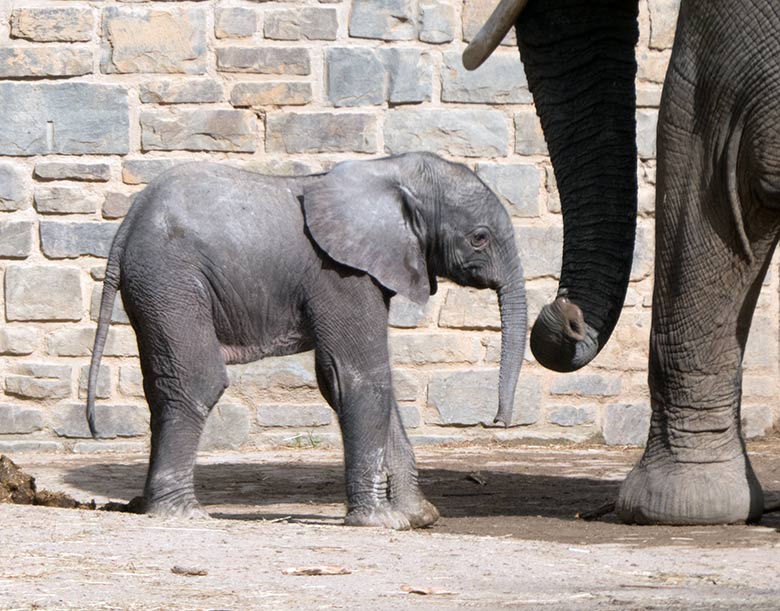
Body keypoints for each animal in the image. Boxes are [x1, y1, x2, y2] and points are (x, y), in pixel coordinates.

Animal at [88, 153, 528, 532]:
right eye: (479, 238)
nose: (497, 420)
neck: (389, 170)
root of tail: (127, 225)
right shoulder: (340, 273)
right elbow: (358, 376)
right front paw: (382, 522)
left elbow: (353, 381)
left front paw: (418, 517)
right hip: (172, 278)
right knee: (196, 381)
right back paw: (183, 513)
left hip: (154, 286)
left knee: (160, 382)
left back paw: (148, 505)